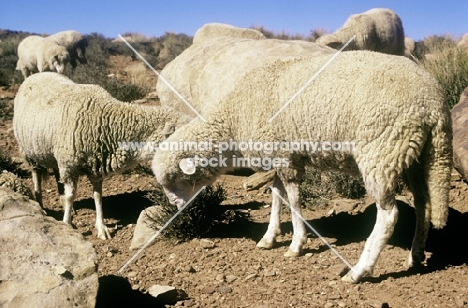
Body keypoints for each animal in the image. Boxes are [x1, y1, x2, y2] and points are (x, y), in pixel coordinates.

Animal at [14, 73, 190, 241]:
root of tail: (35, 75)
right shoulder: (70, 164)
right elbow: (71, 196)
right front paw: (66, 224)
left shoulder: (95, 166)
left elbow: (98, 196)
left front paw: (101, 227)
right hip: (31, 152)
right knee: (36, 176)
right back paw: (41, 205)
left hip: (55, 156)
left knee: (58, 177)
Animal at [152, 50, 452, 284]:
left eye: (174, 179)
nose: (176, 208)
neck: (233, 119)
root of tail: (434, 104)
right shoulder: (278, 155)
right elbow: (276, 196)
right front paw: (269, 237)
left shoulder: (286, 158)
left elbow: (294, 200)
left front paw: (297, 244)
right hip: (416, 155)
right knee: (424, 204)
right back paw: (415, 256)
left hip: (381, 150)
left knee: (389, 215)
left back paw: (358, 271)